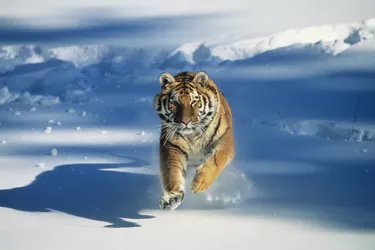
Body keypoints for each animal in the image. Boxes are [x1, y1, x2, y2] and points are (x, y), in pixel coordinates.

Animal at [153, 71, 235, 210]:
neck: (193, 135)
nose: (185, 121)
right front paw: (172, 198)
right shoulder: (171, 146)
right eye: (175, 103)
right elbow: (172, 171)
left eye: (194, 101)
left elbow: (215, 160)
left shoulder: (225, 141)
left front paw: (199, 184)